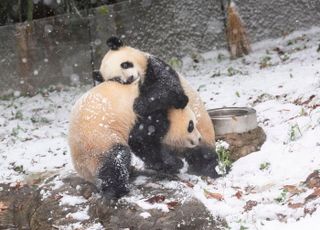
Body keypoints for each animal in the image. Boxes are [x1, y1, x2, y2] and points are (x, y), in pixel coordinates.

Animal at [69, 81, 204, 198]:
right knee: (116, 159)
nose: (199, 138)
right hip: (99, 140)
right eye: (191, 126)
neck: (170, 111)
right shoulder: (148, 115)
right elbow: (140, 141)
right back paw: (117, 190)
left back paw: (130, 172)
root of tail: (83, 167)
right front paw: (175, 162)